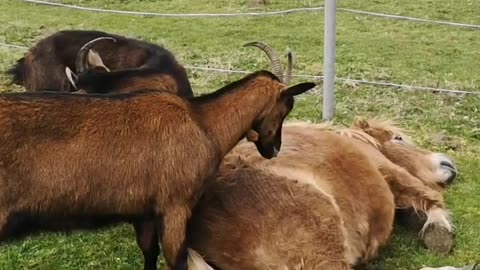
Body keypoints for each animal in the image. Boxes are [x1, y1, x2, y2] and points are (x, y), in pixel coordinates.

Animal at [0, 70, 316, 270]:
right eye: (286, 106)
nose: (273, 149)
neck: (204, 123)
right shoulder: (175, 206)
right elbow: (177, 261)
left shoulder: (144, 211)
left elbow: (149, 253)